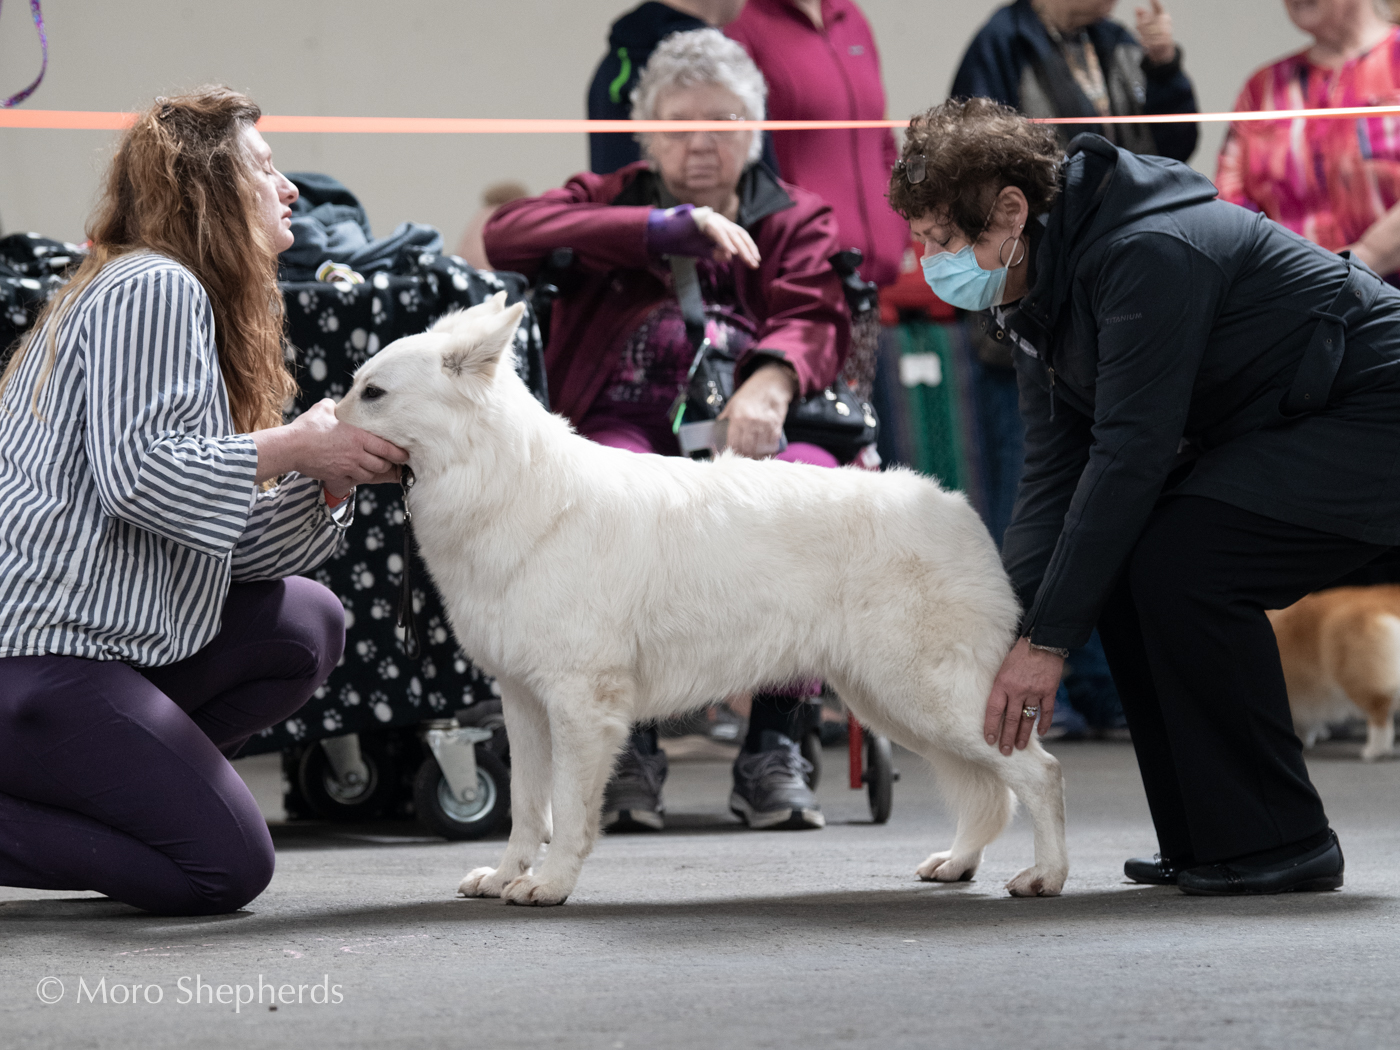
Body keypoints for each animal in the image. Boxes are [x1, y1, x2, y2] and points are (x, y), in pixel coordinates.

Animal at [333, 294, 1064, 907]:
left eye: (371, 392)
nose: (319, 427)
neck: (504, 486)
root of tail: (959, 510)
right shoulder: (523, 704)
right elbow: (525, 810)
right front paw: (508, 876)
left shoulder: (579, 705)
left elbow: (566, 813)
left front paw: (550, 885)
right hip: (894, 706)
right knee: (990, 790)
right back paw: (959, 863)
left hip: (929, 701)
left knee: (1040, 773)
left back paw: (1045, 876)